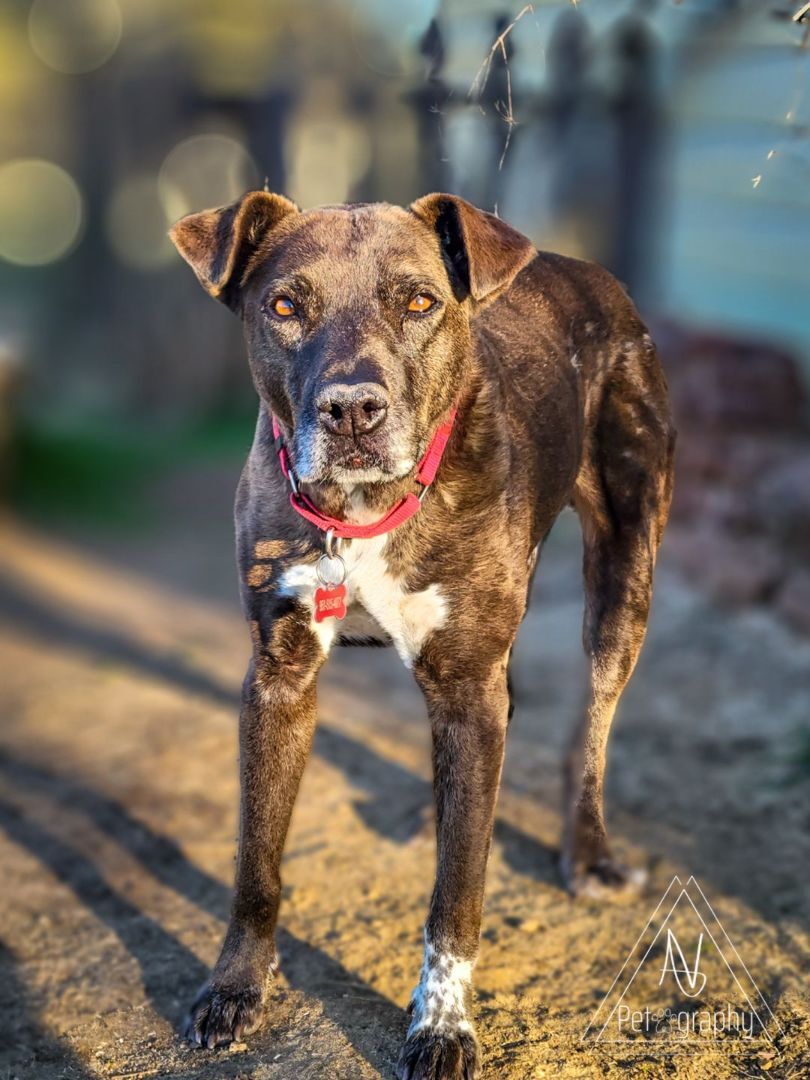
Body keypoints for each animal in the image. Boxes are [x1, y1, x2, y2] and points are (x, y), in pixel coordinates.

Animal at [172, 194, 678, 1080]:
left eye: (417, 302)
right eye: (284, 307)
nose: (351, 410)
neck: (363, 513)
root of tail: (578, 267)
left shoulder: (467, 683)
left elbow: (458, 893)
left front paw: (442, 1025)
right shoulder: (279, 678)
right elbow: (255, 861)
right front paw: (234, 987)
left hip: (625, 574)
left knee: (595, 720)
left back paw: (588, 852)